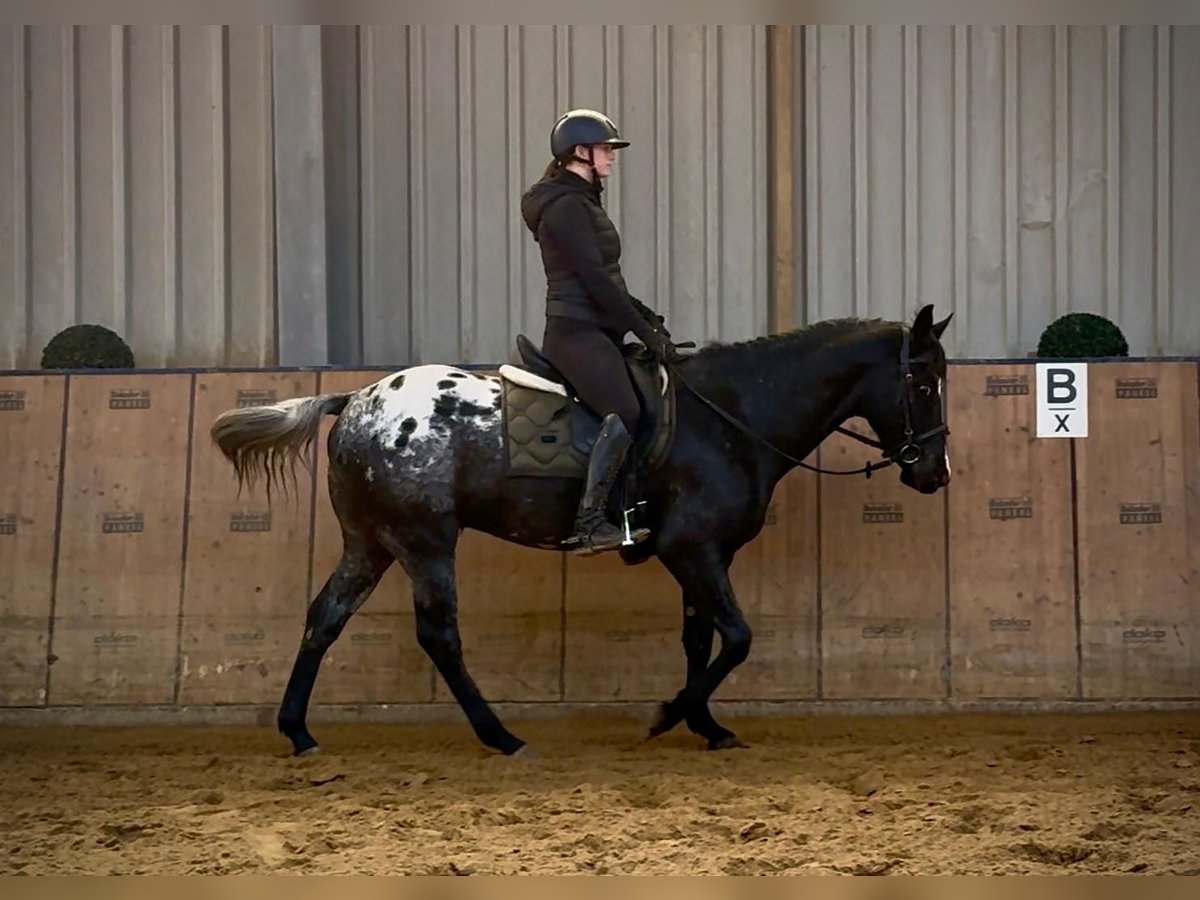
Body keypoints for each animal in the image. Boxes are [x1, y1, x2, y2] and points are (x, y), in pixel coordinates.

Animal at [210, 304, 953, 757]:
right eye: (921, 382)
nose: (935, 473)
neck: (732, 416)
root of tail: (357, 399)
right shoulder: (693, 549)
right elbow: (738, 638)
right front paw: (667, 716)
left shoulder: (697, 555)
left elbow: (701, 640)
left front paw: (706, 725)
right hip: (425, 543)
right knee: (438, 636)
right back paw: (502, 736)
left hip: (371, 542)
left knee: (324, 617)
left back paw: (299, 732)